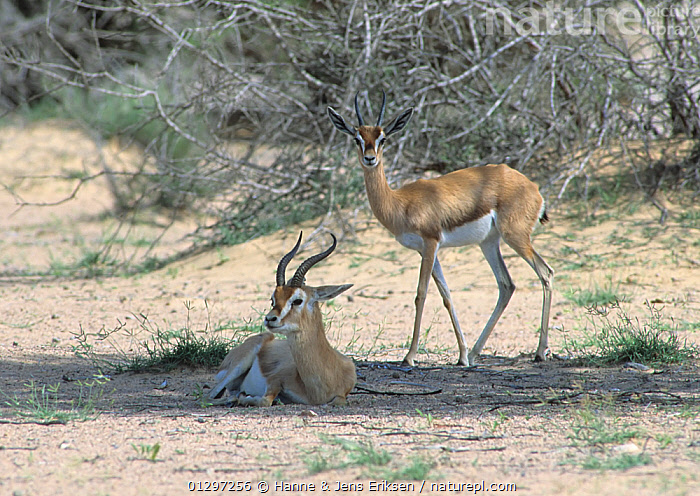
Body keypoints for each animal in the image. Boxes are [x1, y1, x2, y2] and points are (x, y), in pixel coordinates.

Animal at [208, 232, 356, 406]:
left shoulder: (341, 395)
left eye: (297, 300)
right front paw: (245, 397)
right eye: (273, 300)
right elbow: (264, 400)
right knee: (210, 395)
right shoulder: (274, 380)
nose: (270, 319)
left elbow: (338, 401)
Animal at [327, 92, 554, 367]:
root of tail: (533, 188)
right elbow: (446, 295)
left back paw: (540, 352)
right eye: (357, 138)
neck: (399, 202)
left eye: (383, 138)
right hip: (489, 242)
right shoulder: (425, 250)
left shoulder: (430, 242)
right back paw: (476, 353)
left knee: (545, 273)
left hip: (516, 237)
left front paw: (409, 356)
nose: (370, 158)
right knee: (506, 285)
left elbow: (421, 294)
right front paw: (462, 355)